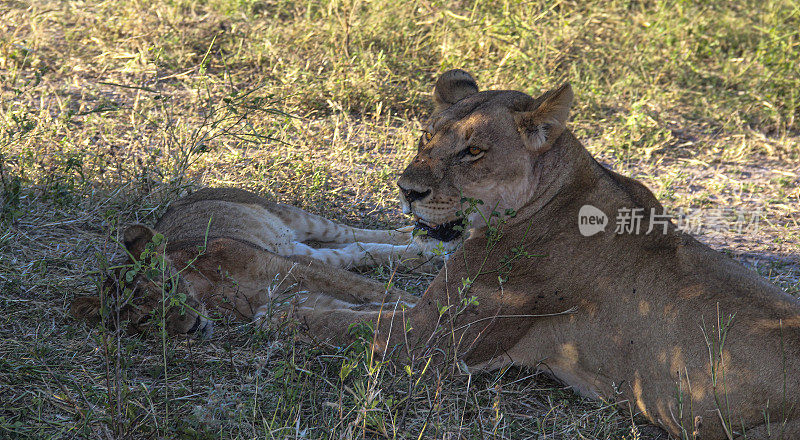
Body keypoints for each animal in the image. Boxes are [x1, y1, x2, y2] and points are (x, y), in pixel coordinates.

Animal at [288, 70, 800, 438]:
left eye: (473, 151)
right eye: (425, 138)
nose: (407, 190)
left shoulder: (427, 343)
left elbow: (333, 323)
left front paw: (285, 307)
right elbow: (362, 307)